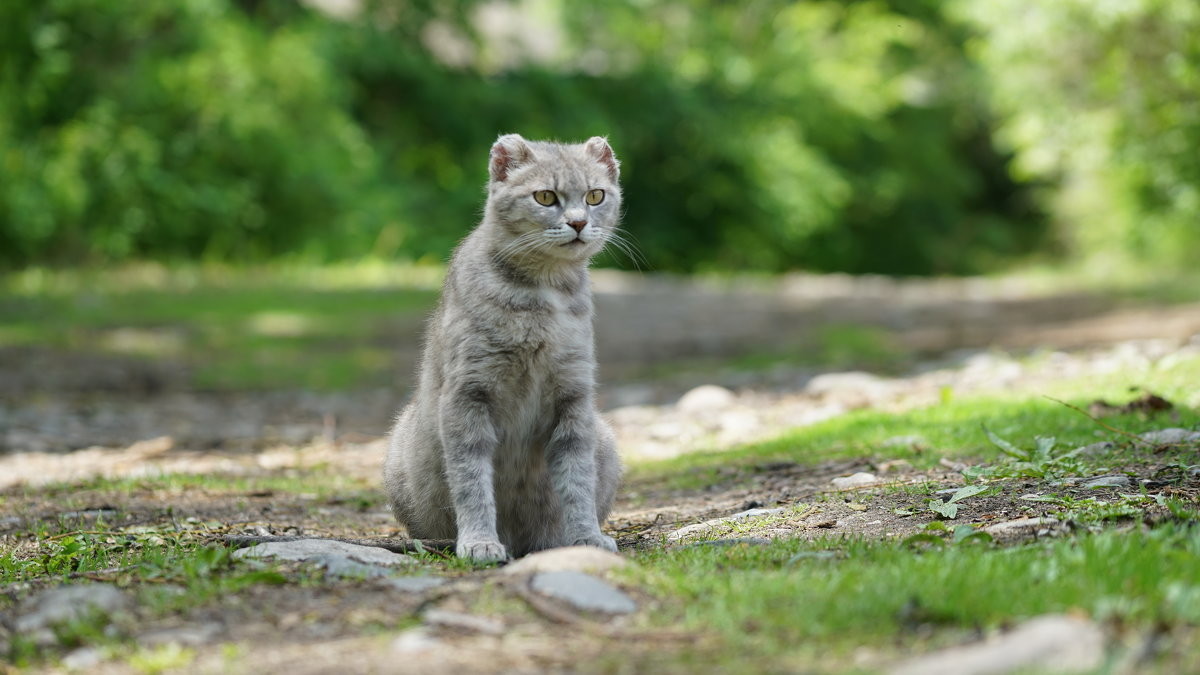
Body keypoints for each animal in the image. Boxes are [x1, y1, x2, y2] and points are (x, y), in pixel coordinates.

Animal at [384, 133, 628, 559]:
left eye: (595, 195)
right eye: (545, 197)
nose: (579, 222)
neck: (546, 292)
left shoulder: (574, 397)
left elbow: (577, 480)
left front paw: (586, 537)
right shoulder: (468, 394)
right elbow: (471, 480)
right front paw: (480, 542)